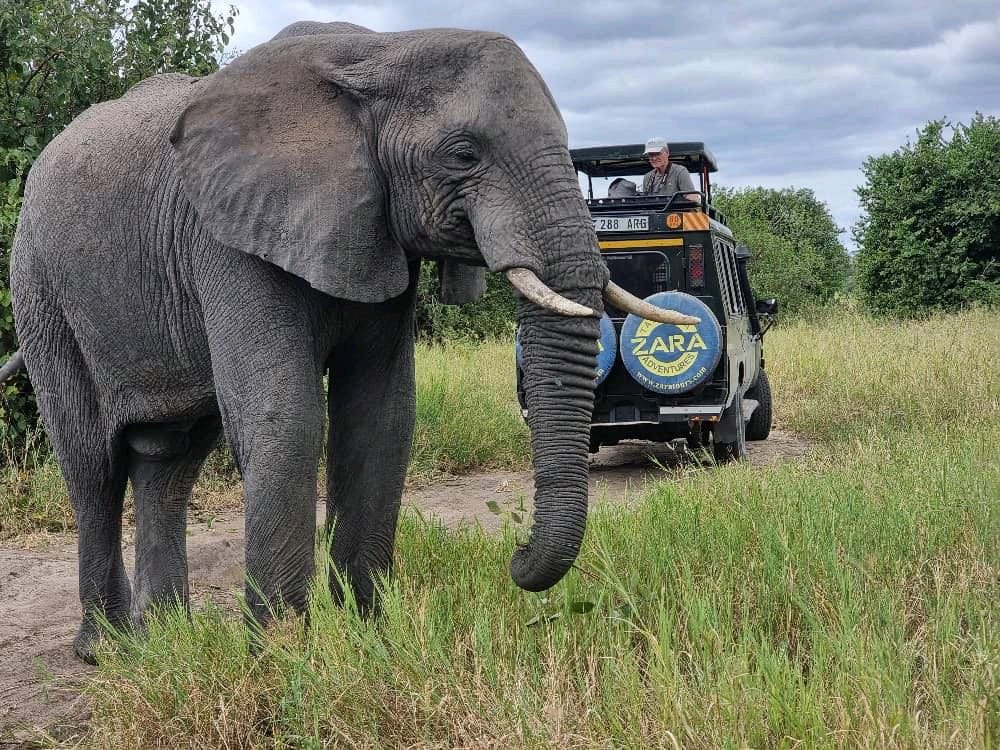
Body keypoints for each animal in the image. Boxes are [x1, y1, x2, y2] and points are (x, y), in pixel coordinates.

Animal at [3, 20, 694, 663]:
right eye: (462, 153)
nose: (517, 557)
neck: (378, 53)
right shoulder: (227, 239)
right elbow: (285, 417)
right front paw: (282, 661)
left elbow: (379, 417)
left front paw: (369, 639)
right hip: (40, 287)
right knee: (92, 464)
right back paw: (106, 649)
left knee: (170, 460)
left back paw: (167, 640)